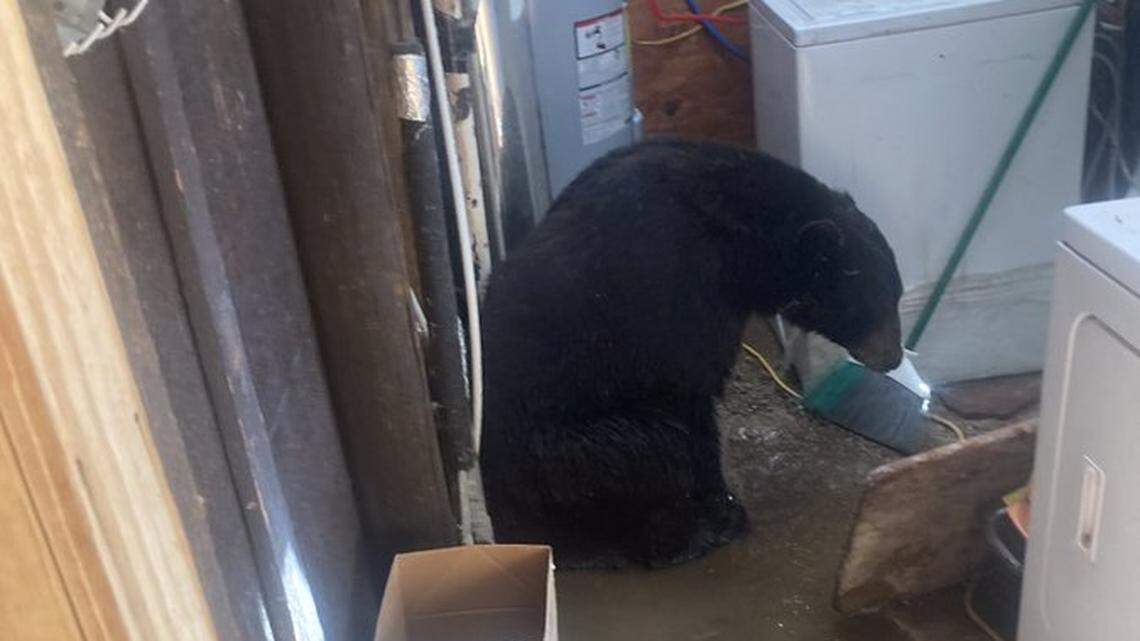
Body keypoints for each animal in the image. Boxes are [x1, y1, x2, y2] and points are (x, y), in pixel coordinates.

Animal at [480, 139, 904, 569]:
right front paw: (720, 502)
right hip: (569, 453)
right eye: (872, 303)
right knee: (659, 448)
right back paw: (691, 533)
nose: (894, 358)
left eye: (896, 294)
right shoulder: (683, 288)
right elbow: (692, 388)